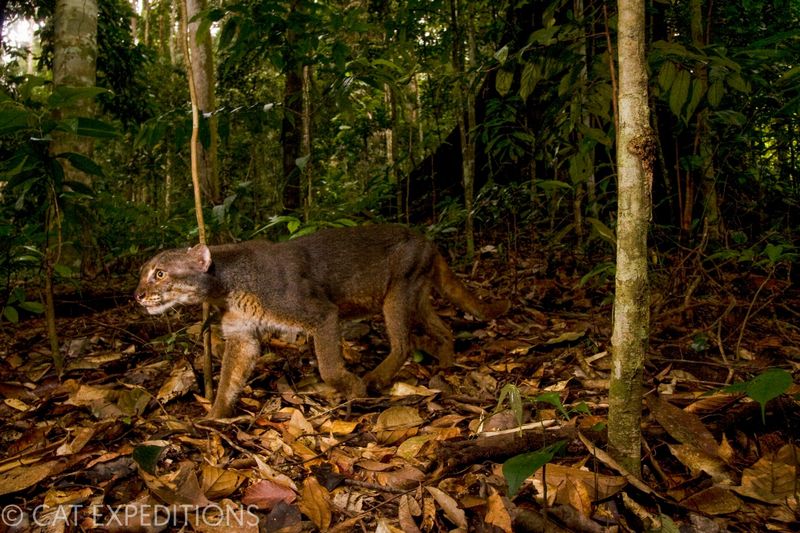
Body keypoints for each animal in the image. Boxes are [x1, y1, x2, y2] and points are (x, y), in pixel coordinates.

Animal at [131, 224, 506, 416]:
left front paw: (353, 389)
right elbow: (229, 380)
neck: (227, 286)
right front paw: (214, 419)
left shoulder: (321, 313)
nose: (137, 295)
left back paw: (374, 379)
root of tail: (427, 239)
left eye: (160, 274)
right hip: (417, 295)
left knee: (404, 342)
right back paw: (446, 363)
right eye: (142, 274)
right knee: (443, 328)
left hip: (397, 294)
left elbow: (328, 367)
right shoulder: (242, 335)